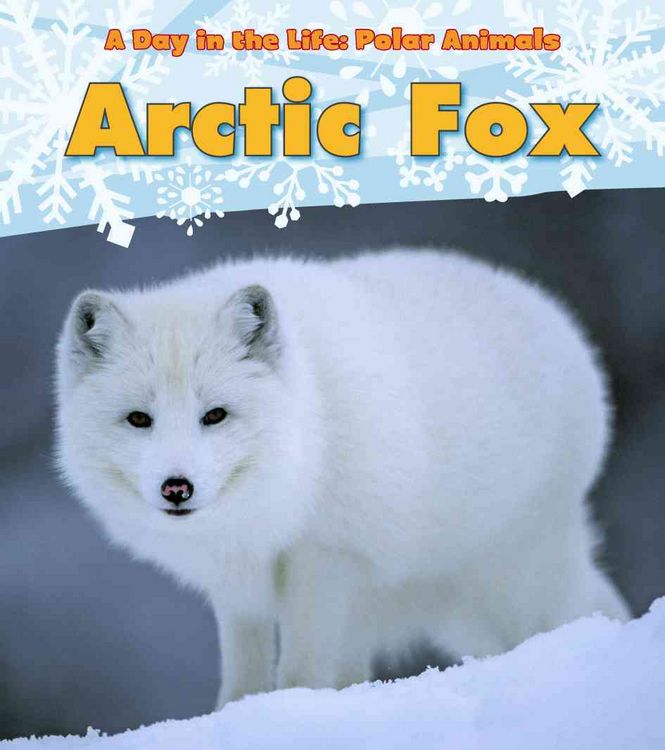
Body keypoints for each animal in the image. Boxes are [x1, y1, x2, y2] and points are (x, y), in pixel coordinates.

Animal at [55, 250, 629, 708]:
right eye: (139, 419)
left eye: (214, 416)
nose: (177, 487)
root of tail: (552, 314)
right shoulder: (238, 588)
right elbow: (243, 678)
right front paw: (238, 717)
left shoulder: (326, 558)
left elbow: (301, 670)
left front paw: (290, 713)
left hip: (513, 579)